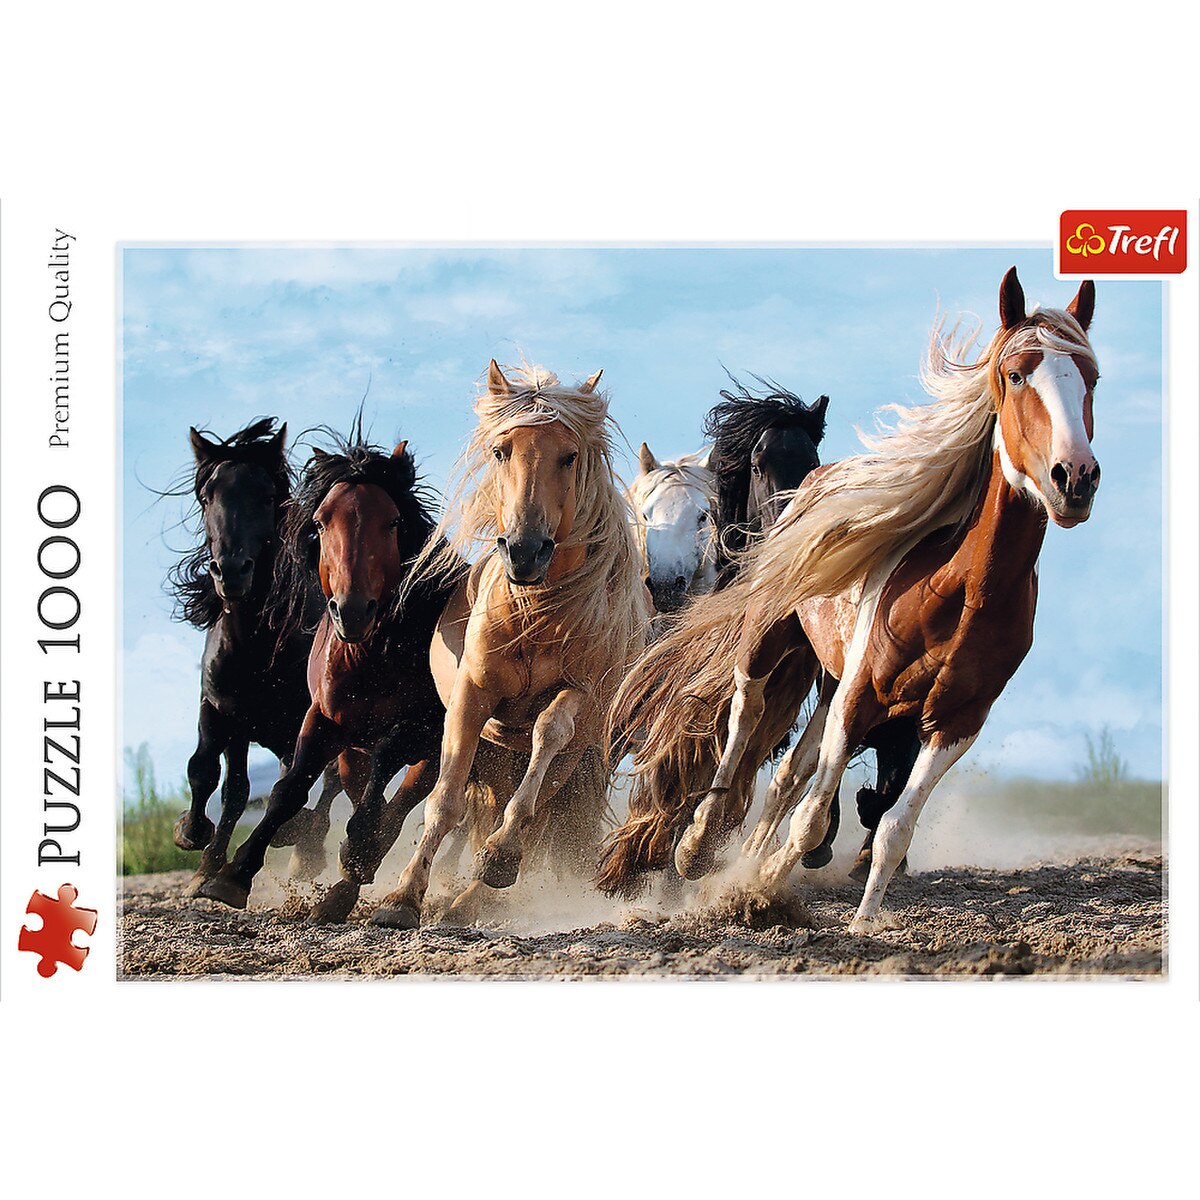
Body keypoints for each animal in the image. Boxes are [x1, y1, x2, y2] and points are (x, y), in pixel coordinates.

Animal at [168, 418, 341, 894]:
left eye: (267, 496)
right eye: (207, 495)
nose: (231, 571)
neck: (257, 648)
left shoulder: (303, 720)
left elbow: (294, 785)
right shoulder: (222, 710)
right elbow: (212, 775)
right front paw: (196, 844)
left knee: (329, 785)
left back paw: (305, 850)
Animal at [198, 427, 461, 920]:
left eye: (392, 522)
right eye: (321, 523)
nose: (352, 611)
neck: (370, 656)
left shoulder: (423, 729)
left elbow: (387, 764)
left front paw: (357, 850)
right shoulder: (322, 719)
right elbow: (289, 788)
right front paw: (233, 875)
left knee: (398, 805)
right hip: (352, 751)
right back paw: (341, 889)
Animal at [367, 360, 650, 929]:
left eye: (569, 456)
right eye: (502, 451)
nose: (524, 551)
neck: (536, 614)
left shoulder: (580, 695)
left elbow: (548, 733)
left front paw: (498, 857)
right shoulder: (472, 698)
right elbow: (445, 801)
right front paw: (402, 897)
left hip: (574, 758)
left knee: (536, 812)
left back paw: (477, 891)